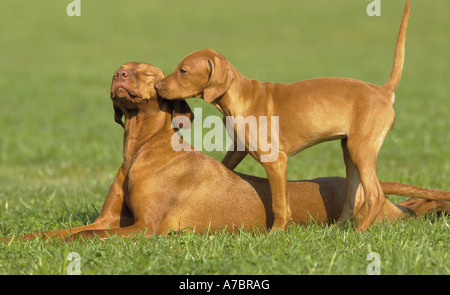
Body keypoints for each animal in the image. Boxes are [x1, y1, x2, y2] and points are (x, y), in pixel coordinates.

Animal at [4, 60, 450, 243]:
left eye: (147, 72)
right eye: (123, 66)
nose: (118, 74)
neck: (140, 149)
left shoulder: (145, 228)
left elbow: (83, 239)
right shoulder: (107, 219)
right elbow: (65, 232)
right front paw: (19, 239)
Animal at [155, 1, 412, 231]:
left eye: (183, 70)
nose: (157, 85)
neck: (238, 97)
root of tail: (383, 91)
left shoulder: (276, 160)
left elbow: (279, 204)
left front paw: (275, 233)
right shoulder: (238, 148)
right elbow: (224, 167)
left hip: (361, 149)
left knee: (375, 195)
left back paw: (359, 231)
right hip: (349, 151)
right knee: (354, 198)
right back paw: (335, 230)